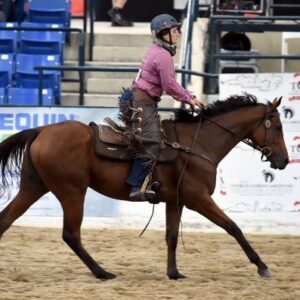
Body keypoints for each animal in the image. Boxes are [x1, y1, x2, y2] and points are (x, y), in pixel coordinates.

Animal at [0, 94, 288, 278]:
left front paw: (174, 273)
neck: (197, 144)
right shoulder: (198, 198)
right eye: (277, 127)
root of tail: (41, 130)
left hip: (33, 187)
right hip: (72, 192)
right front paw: (262, 266)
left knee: (6, 219)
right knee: (71, 234)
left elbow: (172, 236)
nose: (284, 160)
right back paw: (102, 272)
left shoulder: (176, 201)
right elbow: (233, 227)